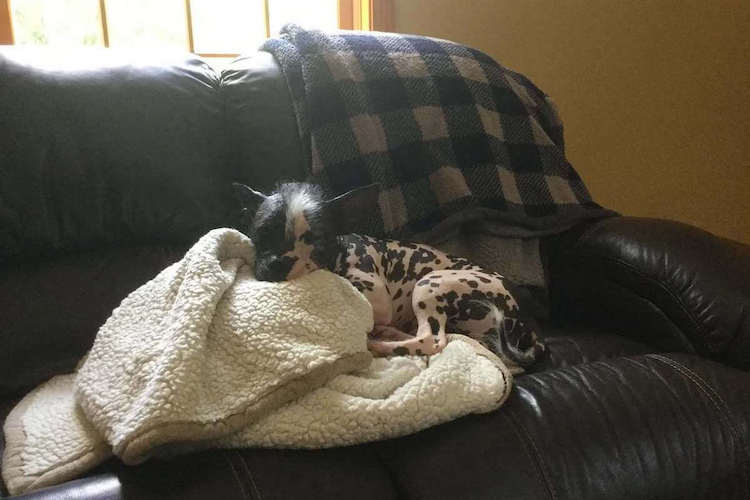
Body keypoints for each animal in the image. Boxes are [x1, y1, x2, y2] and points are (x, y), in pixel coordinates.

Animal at [235, 182, 548, 366]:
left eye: (317, 243)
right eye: (261, 233)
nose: (278, 264)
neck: (342, 255)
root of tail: (525, 317)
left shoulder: (377, 299)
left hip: (430, 283)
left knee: (431, 341)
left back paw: (380, 345)